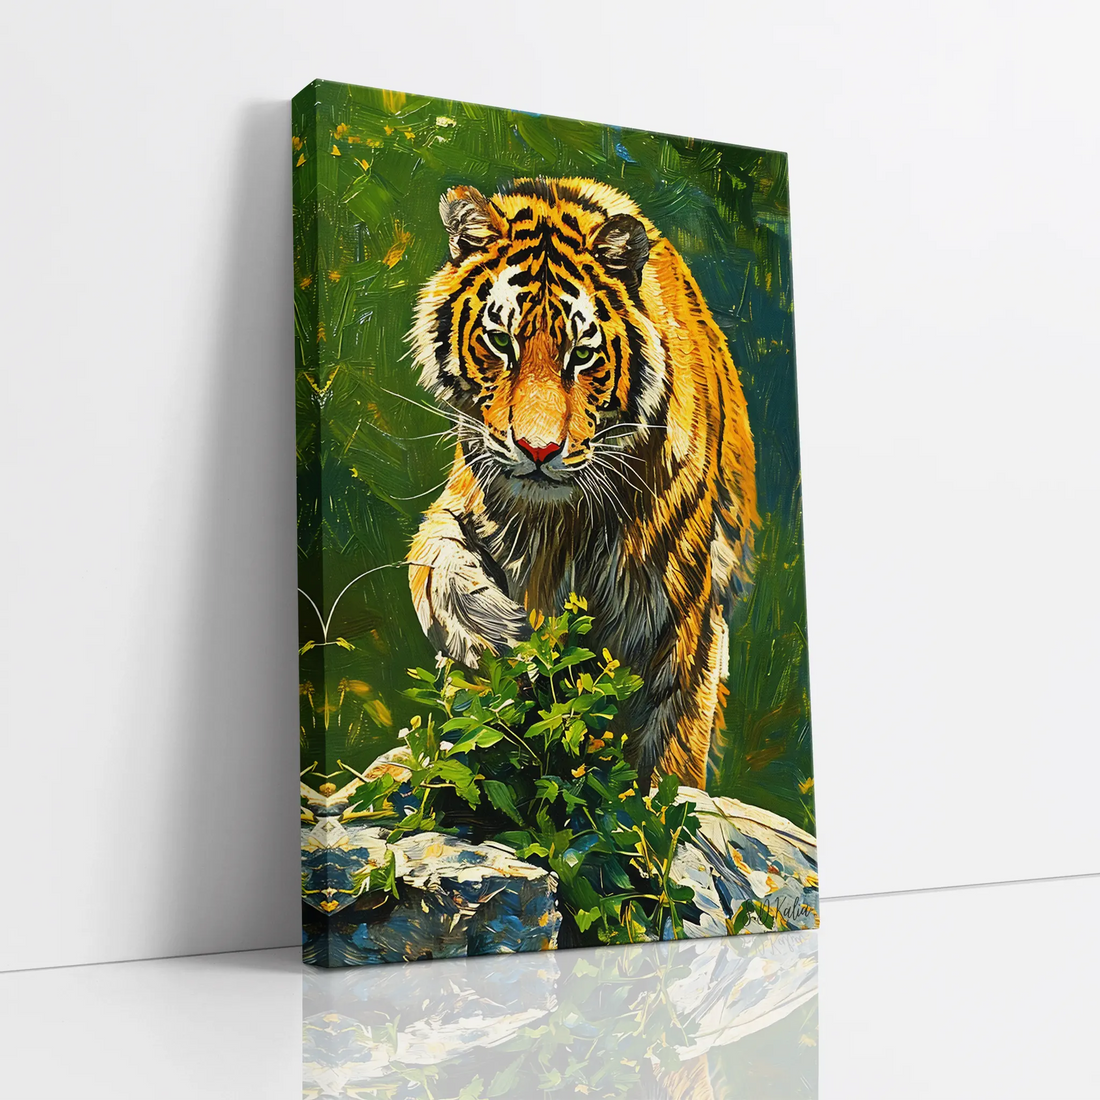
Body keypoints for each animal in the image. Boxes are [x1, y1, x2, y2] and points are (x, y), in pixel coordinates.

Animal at [406, 177, 757, 790]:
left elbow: (671, 744)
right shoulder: (461, 502)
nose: (537, 451)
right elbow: (433, 565)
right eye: (501, 342)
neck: (556, 521)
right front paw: (500, 632)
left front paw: (655, 807)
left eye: (584, 354)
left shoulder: (681, 605)